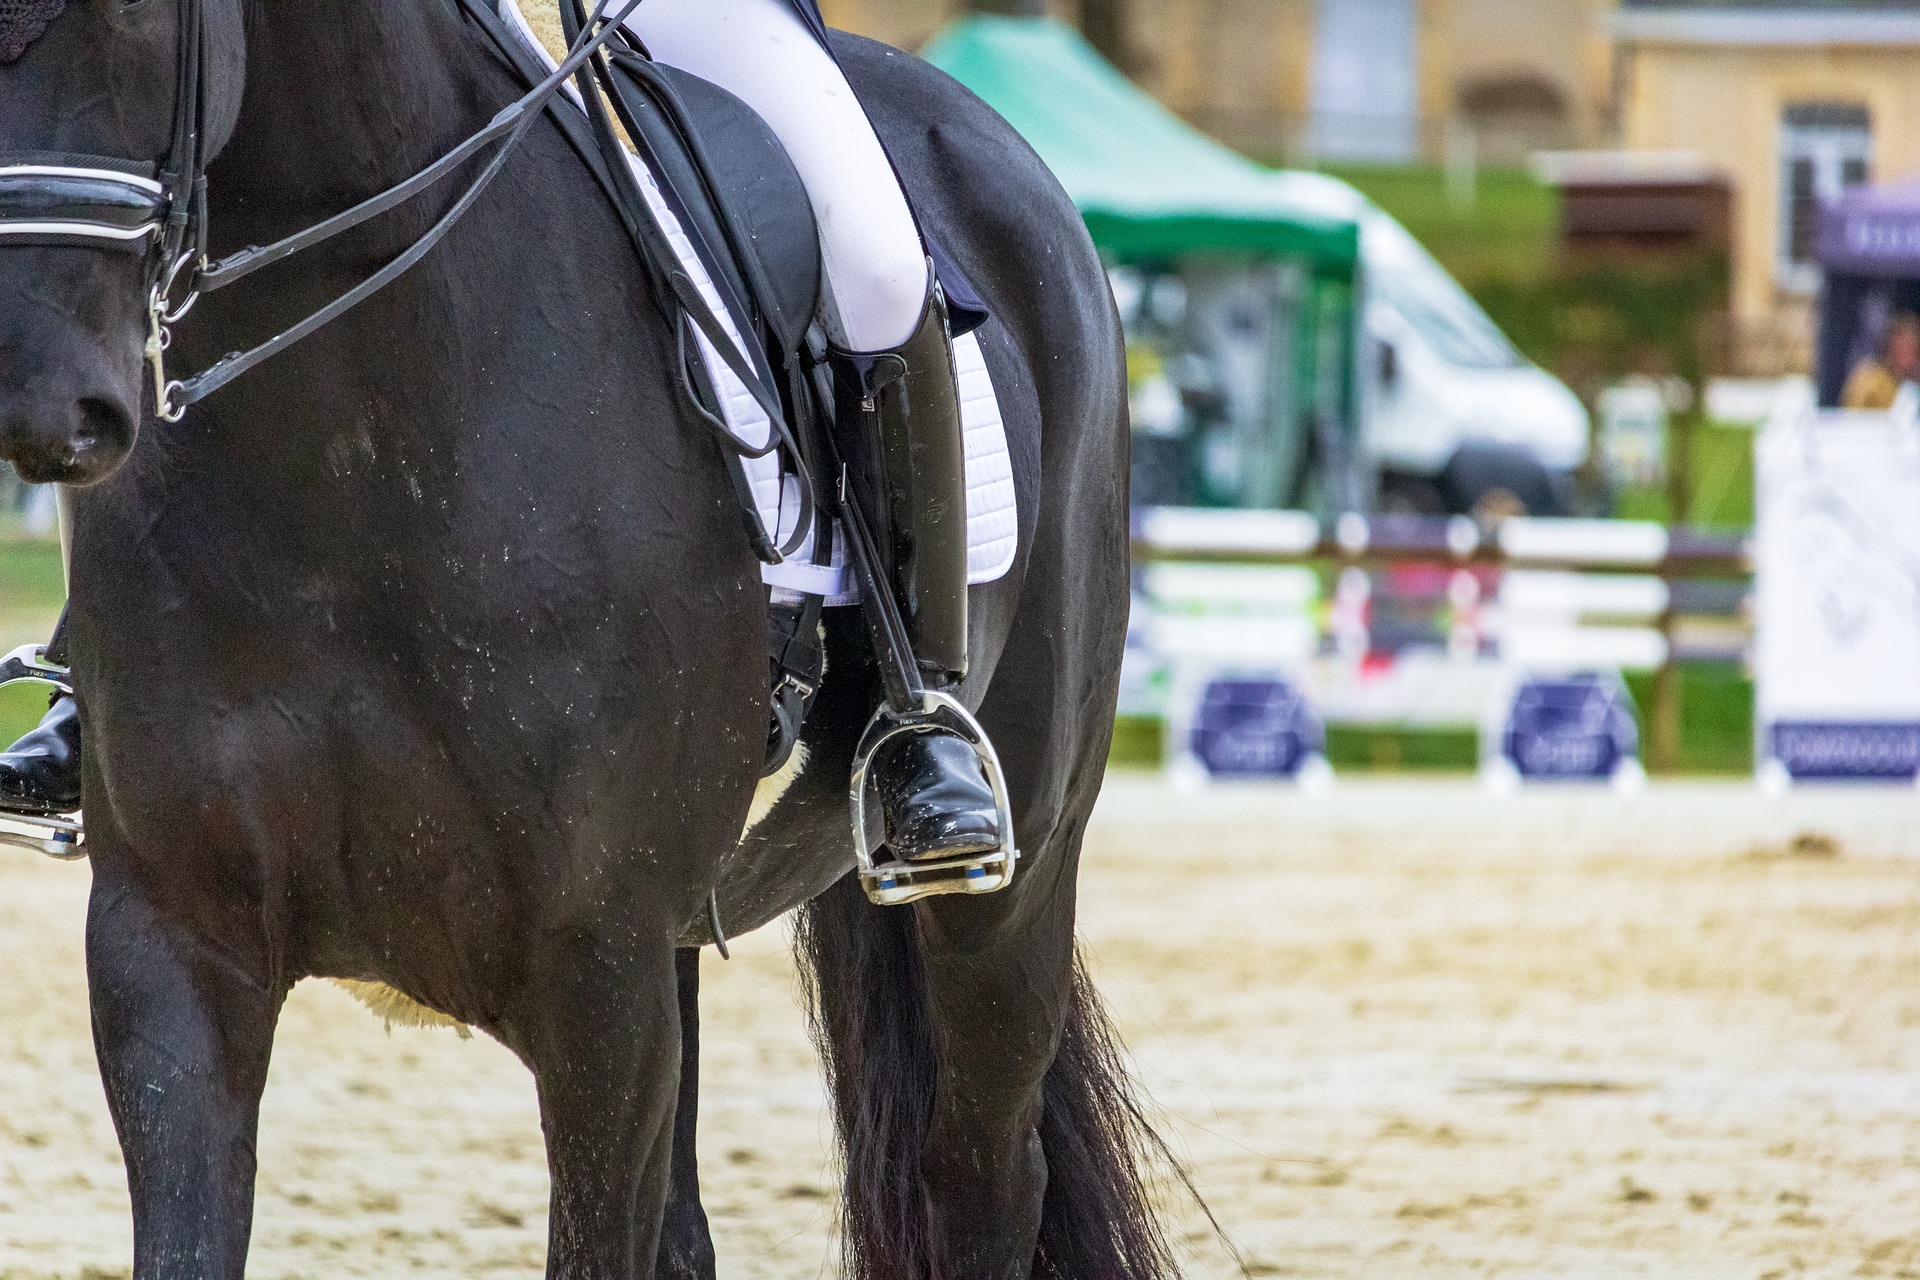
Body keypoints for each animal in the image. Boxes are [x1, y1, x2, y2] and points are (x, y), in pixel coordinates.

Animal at [0, 0, 1171, 1275]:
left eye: (133, 18)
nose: (34, 397)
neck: (350, 445)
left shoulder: (599, 983)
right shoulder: (171, 946)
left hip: (1013, 886)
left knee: (979, 1180)